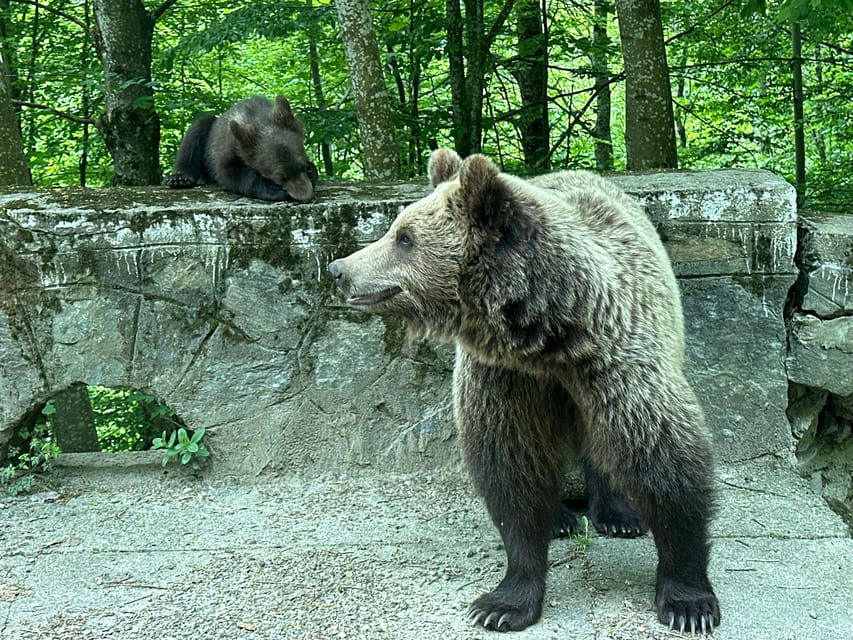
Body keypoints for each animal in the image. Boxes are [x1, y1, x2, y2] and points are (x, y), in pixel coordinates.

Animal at [162, 93, 316, 200]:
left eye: (301, 166)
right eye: (279, 177)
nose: (304, 196)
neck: (258, 120)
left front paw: (312, 171)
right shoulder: (228, 147)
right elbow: (228, 173)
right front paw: (272, 190)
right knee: (199, 126)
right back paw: (179, 178)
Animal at [326, 150, 720, 636]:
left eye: (404, 237)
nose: (339, 269)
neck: (549, 337)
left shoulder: (618, 362)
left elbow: (666, 463)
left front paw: (688, 602)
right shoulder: (506, 381)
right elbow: (512, 473)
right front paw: (502, 603)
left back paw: (617, 515)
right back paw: (562, 520)